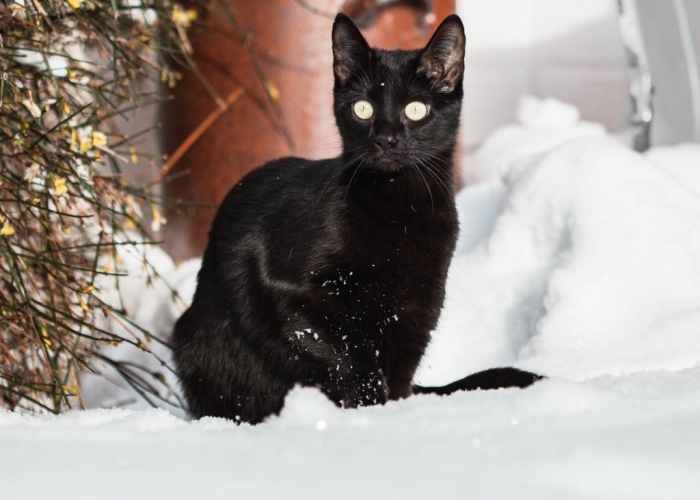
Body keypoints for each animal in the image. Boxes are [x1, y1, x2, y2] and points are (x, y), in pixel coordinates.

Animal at [171, 13, 540, 424]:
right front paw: (367, 415)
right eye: (363, 109)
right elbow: (351, 352)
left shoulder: (421, 303)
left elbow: (394, 367)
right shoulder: (290, 292)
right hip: (197, 342)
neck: (398, 212)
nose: (386, 138)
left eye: (416, 109)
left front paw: (390, 419)